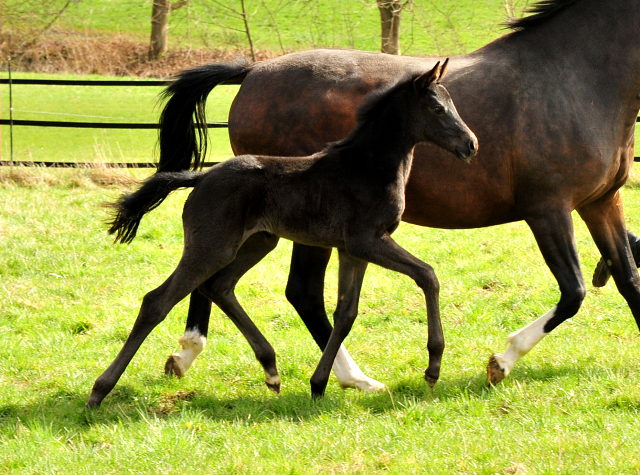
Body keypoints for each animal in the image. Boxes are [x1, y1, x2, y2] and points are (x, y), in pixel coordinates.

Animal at [86, 59, 476, 408]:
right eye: (437, 108)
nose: (471, 144)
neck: (366, 167)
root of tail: (202, 176)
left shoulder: (353, 250)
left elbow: (345, 313)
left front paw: (319, 384)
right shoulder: (368, 241)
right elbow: (428, 275)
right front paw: (433, 367)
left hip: (258, 241)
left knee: (219, 286)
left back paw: (271, 370)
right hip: (211, 247)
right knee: (158, 301)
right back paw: (99, 391)